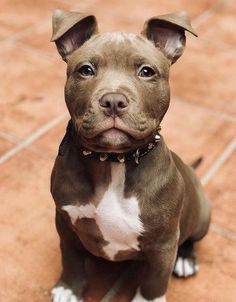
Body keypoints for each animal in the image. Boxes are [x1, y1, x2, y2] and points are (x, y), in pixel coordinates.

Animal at [49, 9, 210, 302]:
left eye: (146, 72)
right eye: (86, 70)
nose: (113, 101)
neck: (113, 163)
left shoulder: (163, 244)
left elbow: (154, 281)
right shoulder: (65, 223)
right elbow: (72, 258)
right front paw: (69, 288)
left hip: (202, 216)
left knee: (191, 238)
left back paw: (186, 259)